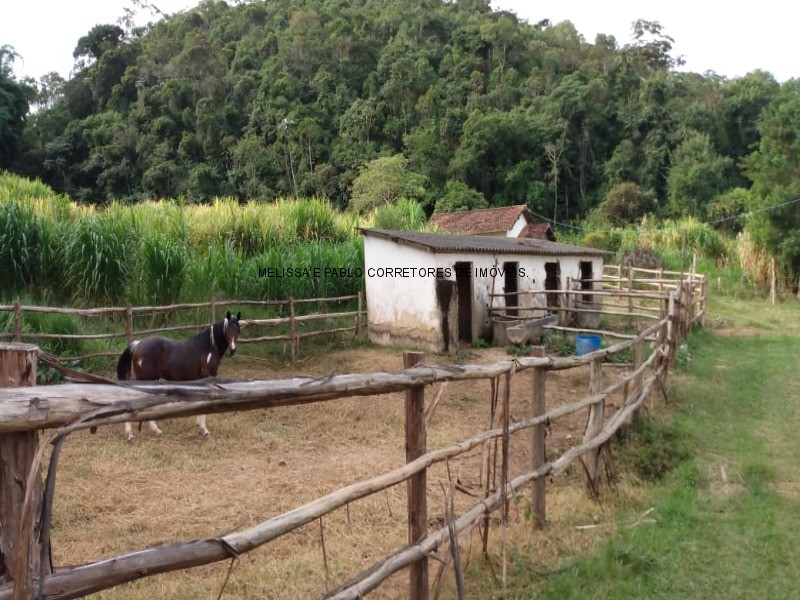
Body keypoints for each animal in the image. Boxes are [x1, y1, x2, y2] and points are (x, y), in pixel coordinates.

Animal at [115, 310, 241, 440]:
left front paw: (201, 428)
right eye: (228, 329)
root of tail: (138, 344)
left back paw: (156, 430)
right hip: (144, 378)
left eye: (238, 329)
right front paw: (205, 431)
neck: (208, 348)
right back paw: (130, 435)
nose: (232, 350)